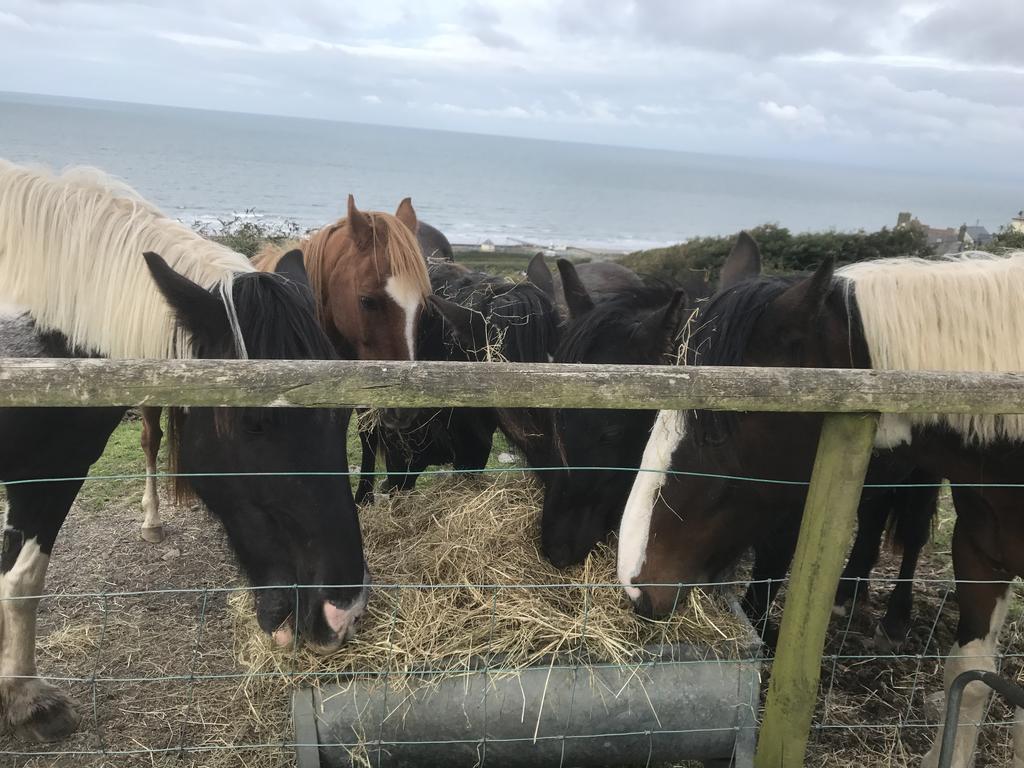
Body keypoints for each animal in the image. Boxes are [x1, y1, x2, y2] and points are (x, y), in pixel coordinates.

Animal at [0, 162, 366, 745]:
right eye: (254, 422)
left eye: (345, 413)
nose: (344, 613)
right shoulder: (47, 474)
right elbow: (22, 582)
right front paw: (27, 701)